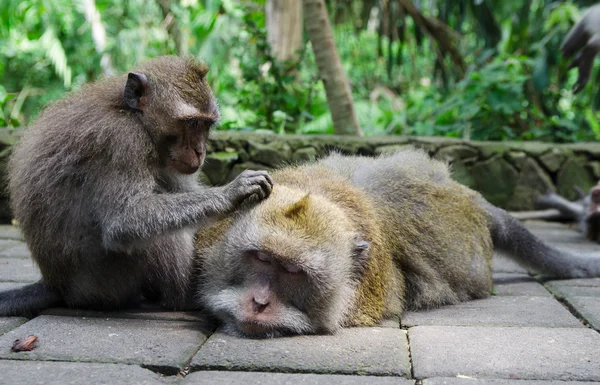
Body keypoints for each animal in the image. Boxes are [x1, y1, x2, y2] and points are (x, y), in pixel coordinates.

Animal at [0, 55, 272, 316]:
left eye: (206, 125)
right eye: (192, 123)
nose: (200, 151)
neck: (132, 115)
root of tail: (56, 284)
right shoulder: (121, 140)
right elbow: (124, 220)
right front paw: (231, 193)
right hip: (104, 282)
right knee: (156, 233)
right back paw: (188, 296)